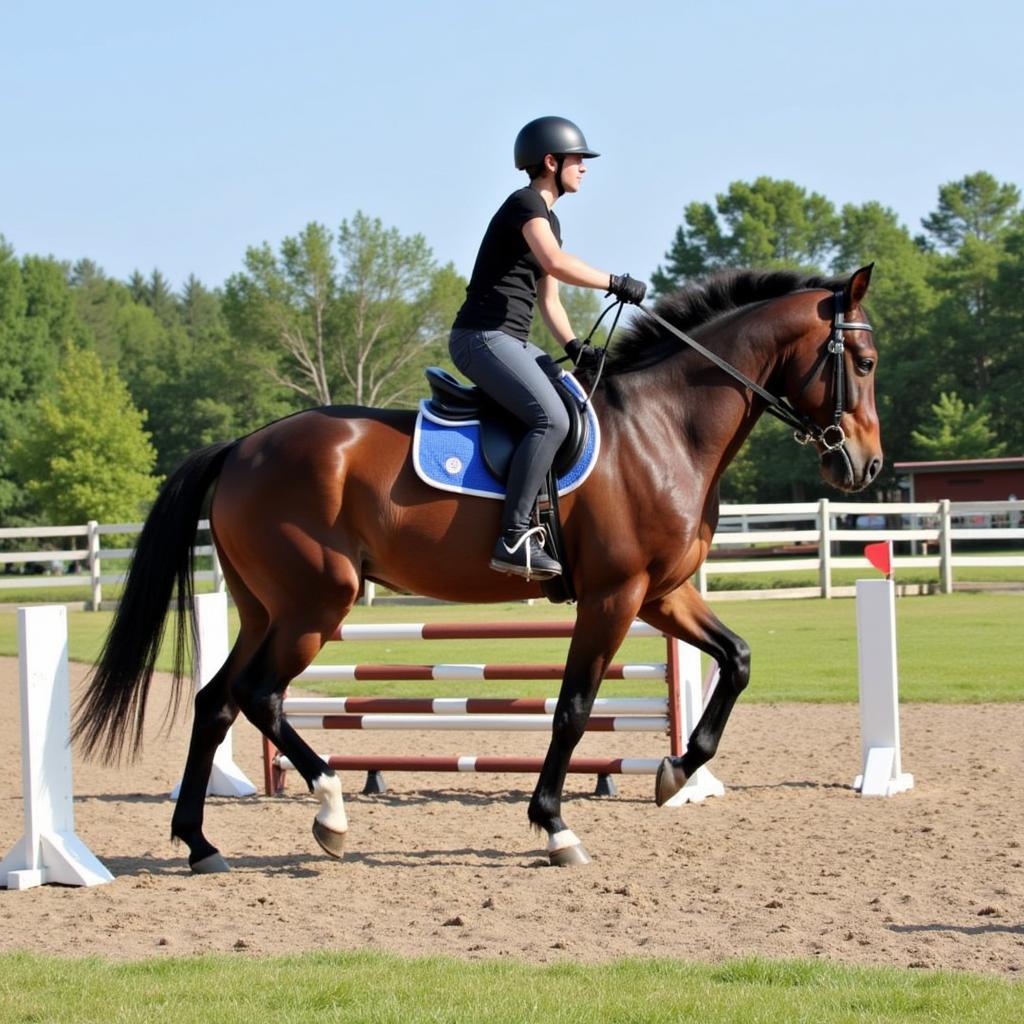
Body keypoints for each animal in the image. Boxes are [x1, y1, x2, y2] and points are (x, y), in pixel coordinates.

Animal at [75, 264, 884, 872]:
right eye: (866, 363)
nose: (867, 466)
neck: (664, 426)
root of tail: (243, 445)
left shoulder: (662, 594)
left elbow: (738, 660)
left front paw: (677, 771)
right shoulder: (614, 597)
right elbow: (574, 708)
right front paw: (555, 826)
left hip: (265, 607)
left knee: (216, 700)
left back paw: (200, 842)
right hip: (315, 604)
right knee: (258, 694)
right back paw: (330, 811)